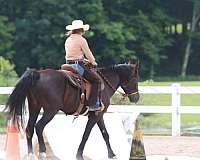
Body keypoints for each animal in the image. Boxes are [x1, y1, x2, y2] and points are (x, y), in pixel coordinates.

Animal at [4, 62, 139, 159]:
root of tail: (38, 74)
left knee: (29, 128)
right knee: (39, 126)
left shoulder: (99, 115)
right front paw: (79, 155)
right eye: (135, 79)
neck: (104, 85)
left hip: (34, 108)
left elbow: (105, 134)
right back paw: (42, 153)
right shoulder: (94, 116)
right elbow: (86, 134)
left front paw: (112, 154)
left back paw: (31, 154)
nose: (136, 98)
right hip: (50, 110)